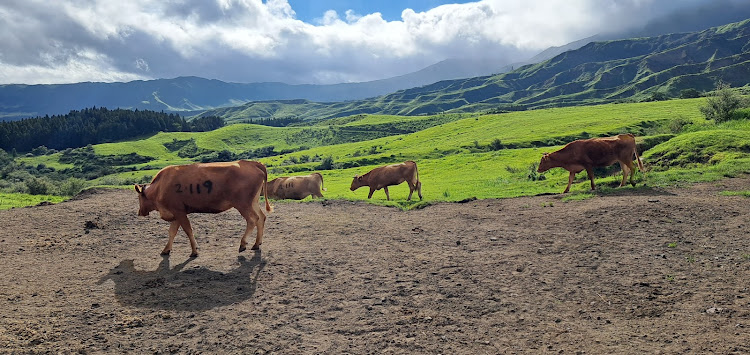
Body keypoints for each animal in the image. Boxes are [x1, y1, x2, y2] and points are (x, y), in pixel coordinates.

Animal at [134, 160, 274, 258]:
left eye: (139, 197)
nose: (139, 212)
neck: (160, 187)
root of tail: (252, 163)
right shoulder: (177, 213)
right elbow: (172, 232)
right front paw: (166, 250)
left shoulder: (179, 212)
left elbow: (188, 230)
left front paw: (194, 251)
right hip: (253, 202)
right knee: (261, 217)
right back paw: (256, 244)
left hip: (243, 204)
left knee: (253, 219)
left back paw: (243, 243)